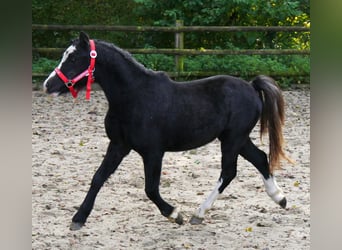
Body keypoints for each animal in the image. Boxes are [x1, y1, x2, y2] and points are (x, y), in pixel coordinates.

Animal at [44, 31, 292, 230]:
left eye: (74, 58)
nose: (48, 85)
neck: (134, 96)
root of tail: (252, 87)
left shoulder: (153, 152)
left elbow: (150, 189)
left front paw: (175, 214)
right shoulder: (119, 145)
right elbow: (98, 177)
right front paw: (78, 218)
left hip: (233, 139)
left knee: (229, 172)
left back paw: (198, 213)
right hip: (237, 139)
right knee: (260, 158)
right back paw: (280, 198)